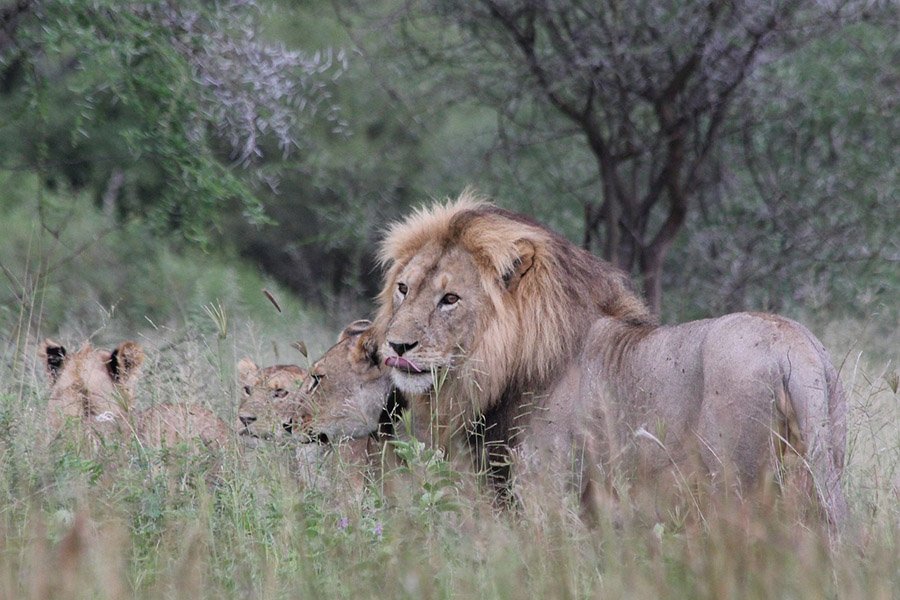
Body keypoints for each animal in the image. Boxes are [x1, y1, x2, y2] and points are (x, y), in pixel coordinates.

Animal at [374, 193, 852, 528]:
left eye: (450, 299)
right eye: (403, 288)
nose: (395, 346)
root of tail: (795, 348)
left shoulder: (548, 488)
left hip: (737, 484)